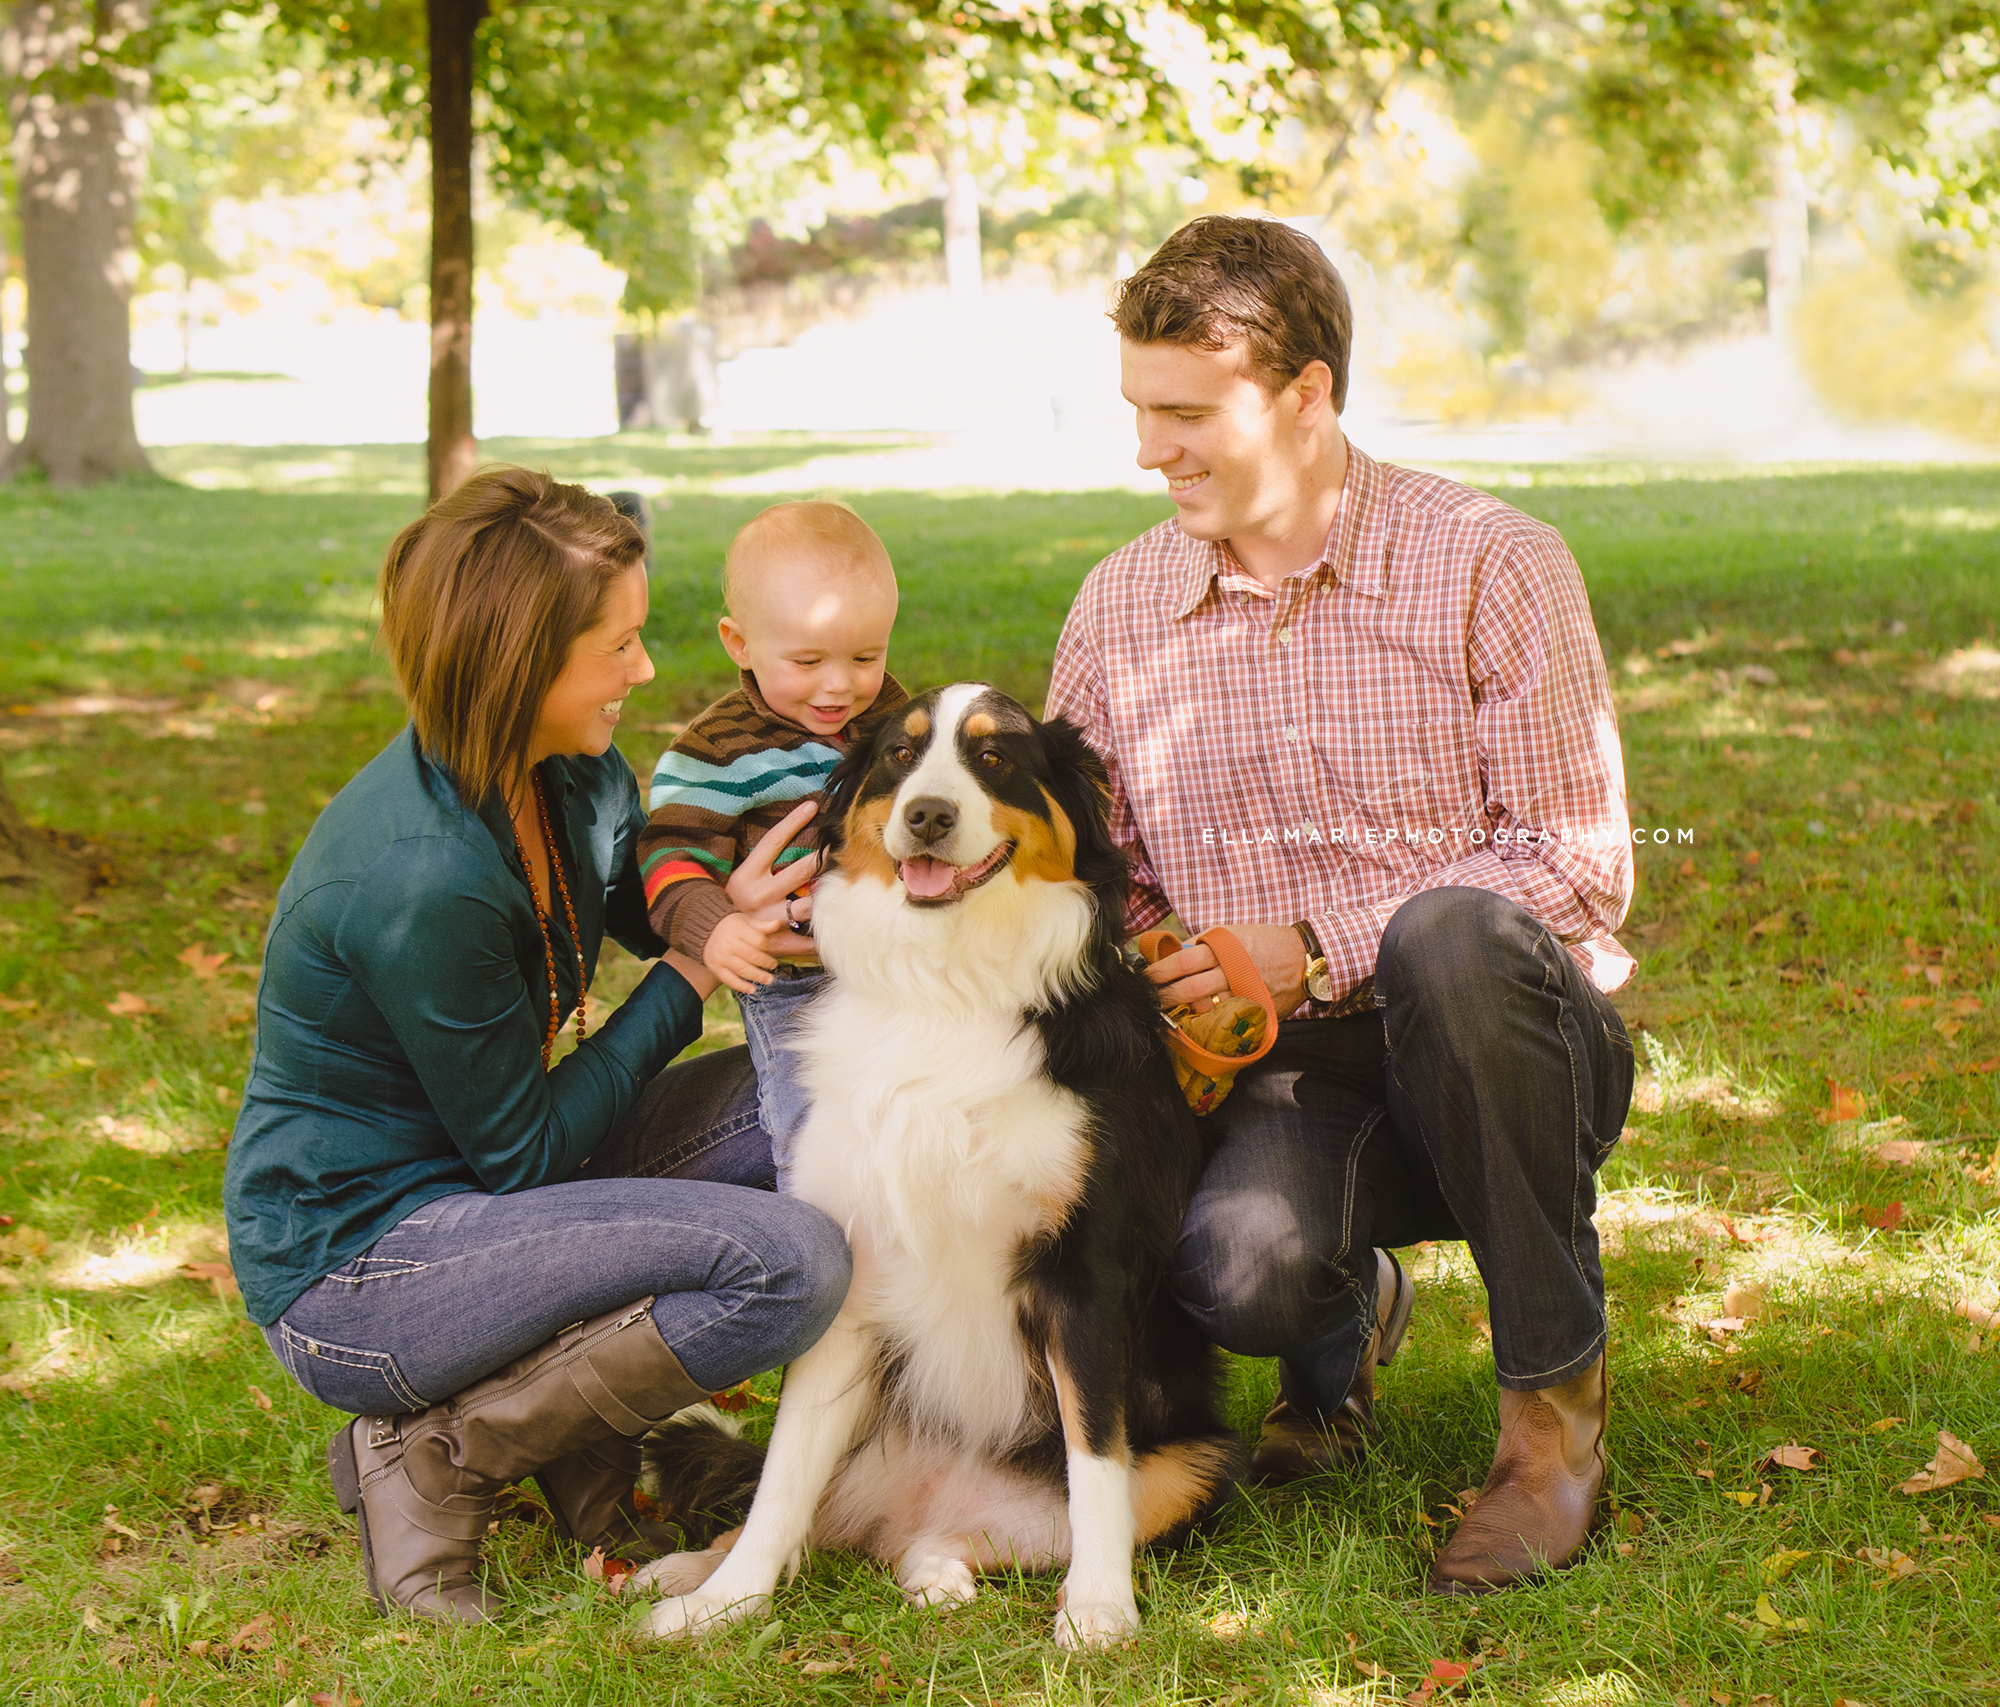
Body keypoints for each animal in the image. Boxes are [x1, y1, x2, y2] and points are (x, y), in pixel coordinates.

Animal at [632, 683, 1240, 1655]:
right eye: (899, 755)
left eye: (994, 758)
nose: (927, 814)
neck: (945, 981)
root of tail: (923, 1499)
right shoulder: (849, 1269)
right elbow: (780, 1481)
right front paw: (729, 1601)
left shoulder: (1087, 1271)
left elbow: (1095, 1460)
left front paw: (1100, 1607)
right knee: (808, 1508)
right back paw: (692, 1571)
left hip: (1200, 1458)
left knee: (958, 1536)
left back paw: (943, 1573)